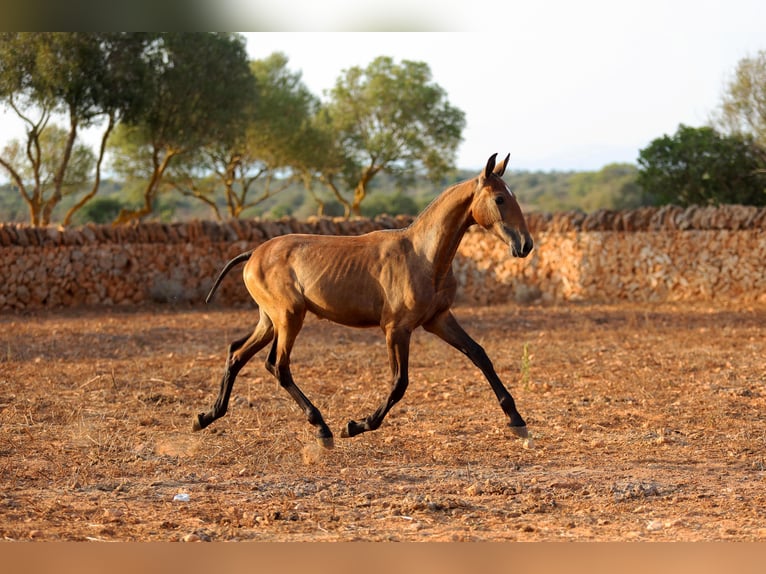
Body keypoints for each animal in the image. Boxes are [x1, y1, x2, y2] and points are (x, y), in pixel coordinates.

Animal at [194, 153, 534, 448]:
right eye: (500, 198)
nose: (525, 245)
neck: (422, 256)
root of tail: (253, 254)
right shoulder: (396, 329)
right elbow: (399, 383)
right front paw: (356, 425)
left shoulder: (438, 320)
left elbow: (480, 355)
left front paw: (518, 421)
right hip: (289, 317)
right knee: (278, 366)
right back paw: (323, 429)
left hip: (270, 320)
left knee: (238, 353)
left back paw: (206, 417)